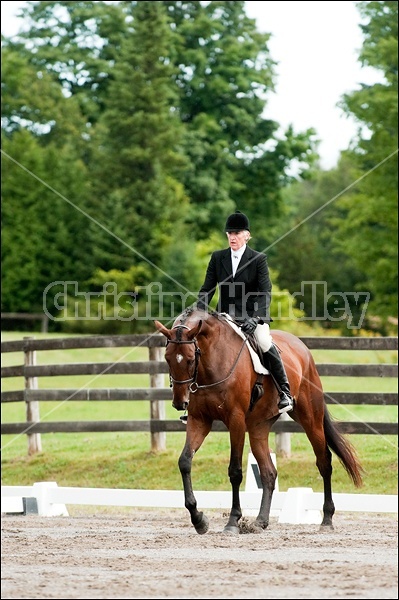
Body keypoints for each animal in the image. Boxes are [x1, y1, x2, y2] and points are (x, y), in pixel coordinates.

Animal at [155, 310, 364, 536]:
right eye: (167, 358)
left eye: (191, 359)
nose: (179, 403)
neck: (212, 361)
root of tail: (301, 347)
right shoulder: (199, 420)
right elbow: (185, 461)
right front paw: (199, 519)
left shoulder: (236, 420)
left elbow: (235, 471)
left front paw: (232, 522)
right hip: (258, 427)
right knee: (268, 472)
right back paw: (260, 522)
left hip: (310, 418)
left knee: (324, 462)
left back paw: (326, 519)